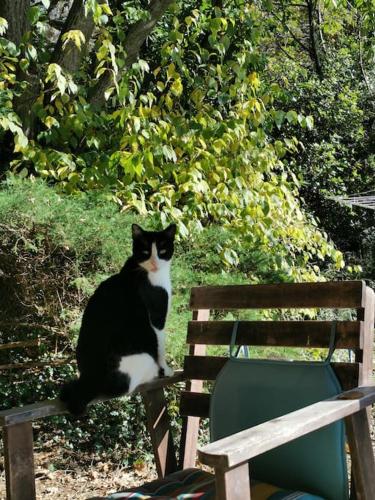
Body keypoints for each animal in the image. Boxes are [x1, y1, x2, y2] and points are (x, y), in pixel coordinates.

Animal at [60, 225, 178, 416]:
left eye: (162, 251)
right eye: (146, 252)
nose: (154, 263)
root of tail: (90, 381)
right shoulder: (158, 317)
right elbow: (161, 348)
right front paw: (166, 371)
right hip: (144, 357)